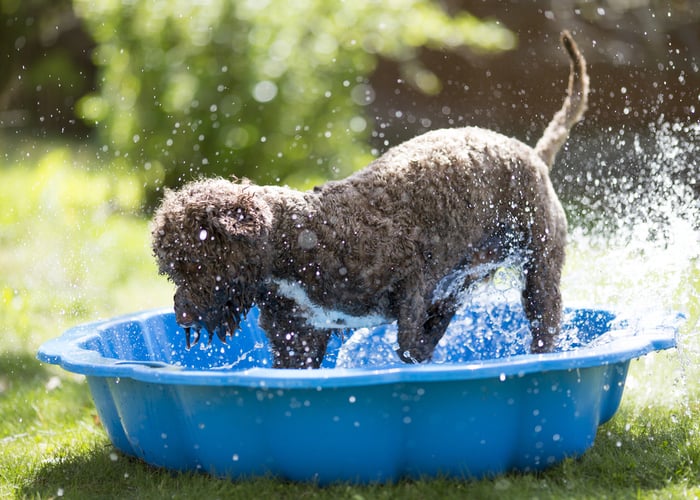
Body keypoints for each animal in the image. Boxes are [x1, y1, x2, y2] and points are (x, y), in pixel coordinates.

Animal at [150, 30, 588, 368]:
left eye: (193, 262)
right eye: (170, 270)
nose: (181, 313)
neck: (296, 240)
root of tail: (533, 154)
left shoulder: (413, 286)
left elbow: (413, 345)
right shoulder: (298, 338)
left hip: (539, 270)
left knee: (543, 323)